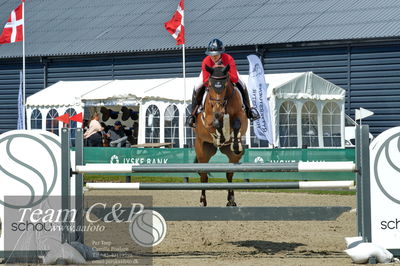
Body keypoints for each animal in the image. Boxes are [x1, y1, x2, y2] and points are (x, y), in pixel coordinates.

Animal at [194, 63, 247, 207]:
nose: (218, 110)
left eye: (225, 84)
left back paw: (231, 201)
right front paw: (221, 136)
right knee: (203, 176)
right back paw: (202, 201)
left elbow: (237, 123)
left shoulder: (242, 116)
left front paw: (235, 144)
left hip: (232, 156)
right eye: (210, 85)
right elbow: (216, 123)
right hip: (202, 152)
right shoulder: (208, 120)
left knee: (229, 174)